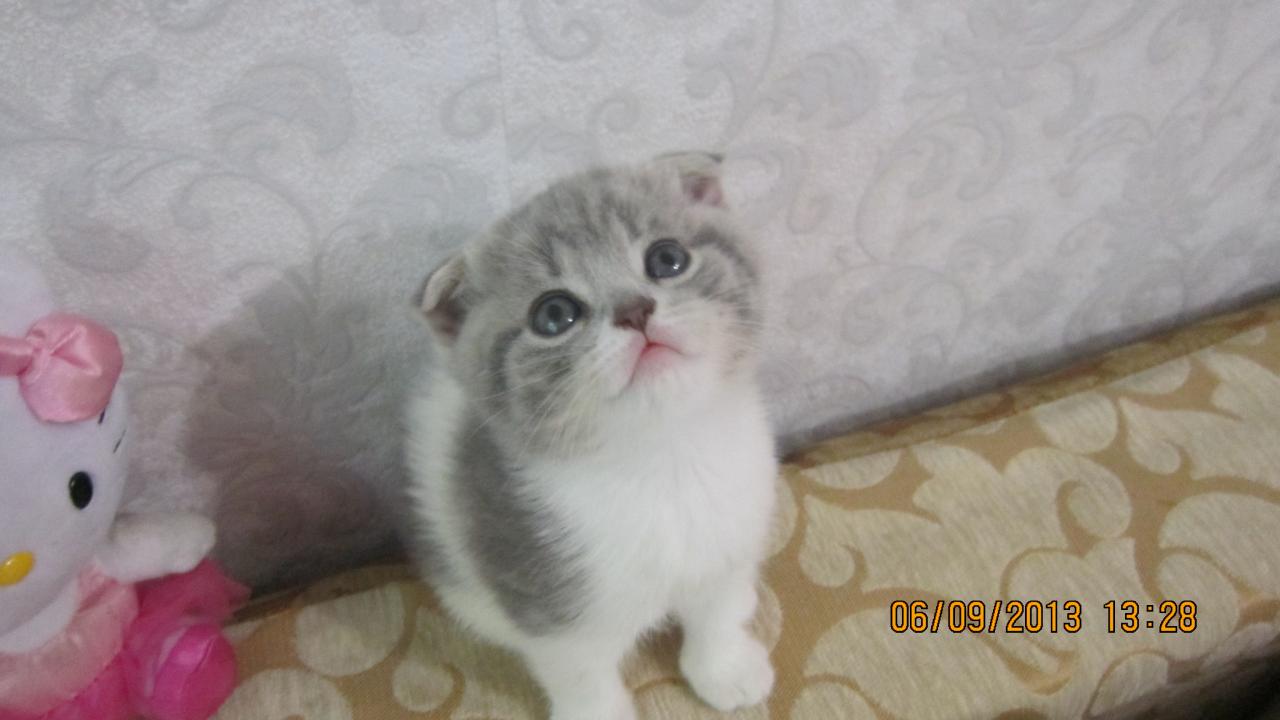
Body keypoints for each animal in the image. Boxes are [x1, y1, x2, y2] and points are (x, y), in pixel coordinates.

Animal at [404, 152, 777, 720]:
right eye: (555, 314)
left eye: (667, 259)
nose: (633, 309)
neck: (664, 460)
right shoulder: (546, 598)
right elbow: (582, 676)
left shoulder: (730, 539)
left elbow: (717, 610)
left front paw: (725, 668)